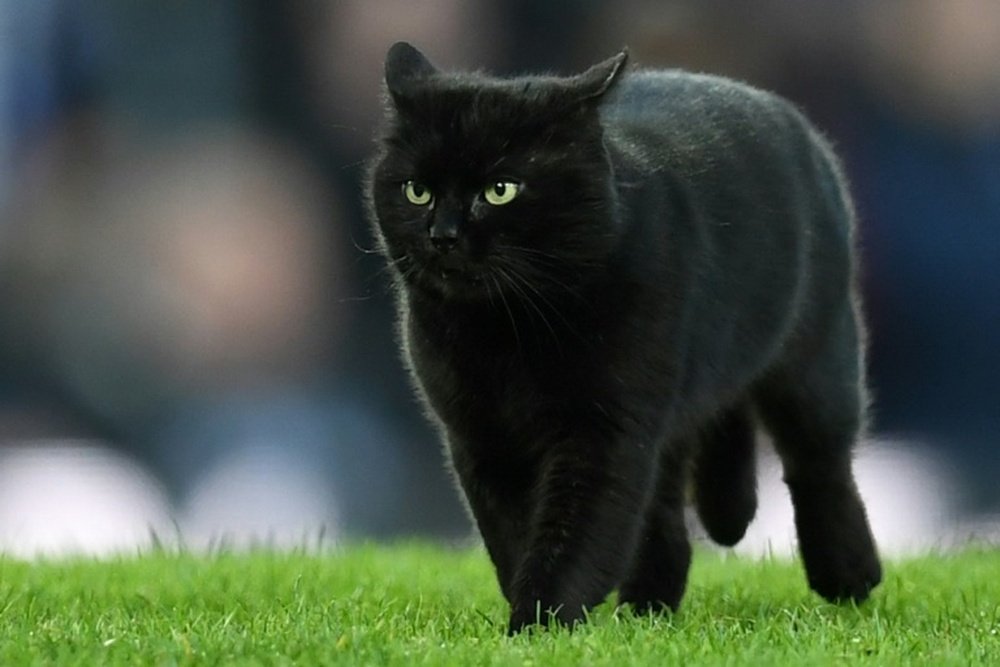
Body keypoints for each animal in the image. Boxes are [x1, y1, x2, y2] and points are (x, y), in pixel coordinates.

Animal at [364, 41, 880, 632]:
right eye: (417, 190)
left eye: (500, 190)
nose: (442, 235)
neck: (504, 334)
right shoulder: (482, 438)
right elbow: (513, 533)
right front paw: (533, 618)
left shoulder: (606, 431)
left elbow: (577, 532)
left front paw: (539, 622)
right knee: (667, 522)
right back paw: (647, 612)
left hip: (816, 357)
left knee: (820, 464)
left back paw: (849, 577)